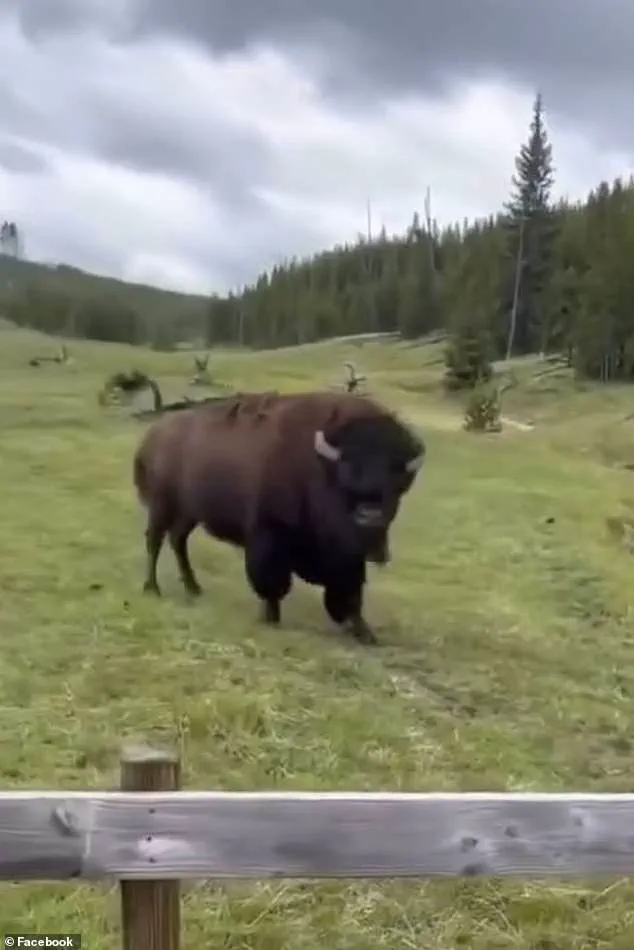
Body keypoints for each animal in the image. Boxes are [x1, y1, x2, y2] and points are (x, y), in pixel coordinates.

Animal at [133, 390, 425, 644]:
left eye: (398, 483)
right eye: (346, 475)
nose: (370, 518)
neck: (318, 466)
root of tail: (152, 436)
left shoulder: (347, 560)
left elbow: (349, 592)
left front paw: (365, 633)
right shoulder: (269, 537)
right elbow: (273, 583)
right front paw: (270, 618)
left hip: (188, 513)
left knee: (178, 541)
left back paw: (194, 588)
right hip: (162, 506)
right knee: (154, 541)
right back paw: (152, 589)